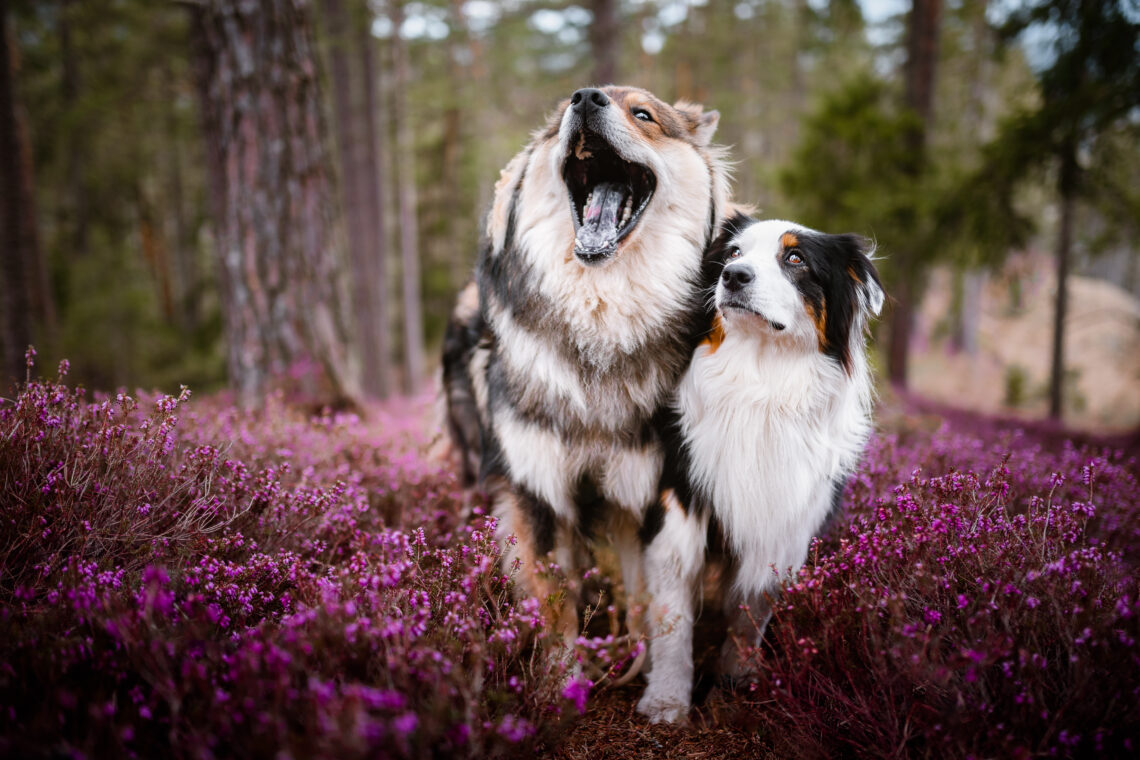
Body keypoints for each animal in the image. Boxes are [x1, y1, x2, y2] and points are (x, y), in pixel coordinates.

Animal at [440, 87, 725, 647]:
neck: (600, 319)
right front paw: (566, 668)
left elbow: (642, 604)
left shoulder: (640, 497)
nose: (586, 99)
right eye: (559, 118)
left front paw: (638, 657)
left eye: (644, 114)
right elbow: (556, 615)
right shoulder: (537, 495)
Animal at [638, 215, 884, 724]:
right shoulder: (679, 503)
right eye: (733, 253)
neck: (761, 384)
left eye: (795, 258)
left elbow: (754, 608)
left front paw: (738, 676)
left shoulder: (786, 517)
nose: (734, 277)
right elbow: (672, 615)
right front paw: (667, 698)